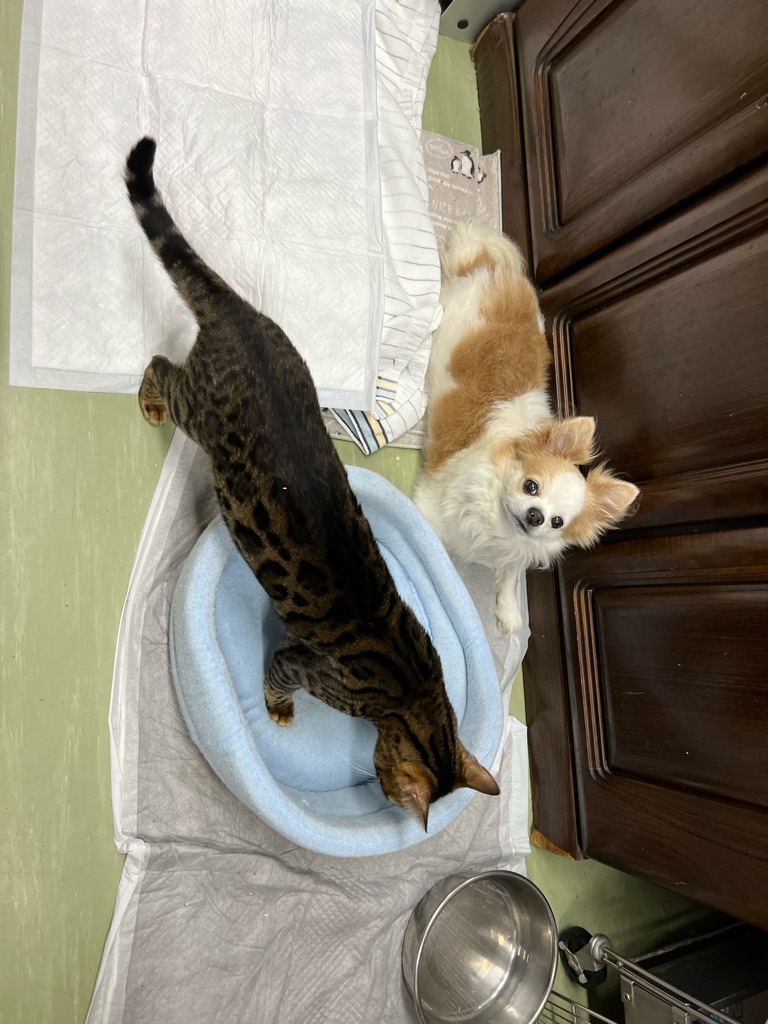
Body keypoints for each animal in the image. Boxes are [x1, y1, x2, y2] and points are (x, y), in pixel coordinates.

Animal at [124, 137, 499, 829]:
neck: (416, 692)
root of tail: (240, 315)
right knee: (161, 365)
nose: (383, 794)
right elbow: (276, 682)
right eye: (390, 788)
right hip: (196, 409)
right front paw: (279, 712)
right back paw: (150, 402)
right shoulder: (295, 661)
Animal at [414, 223, 639, 634]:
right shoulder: (431, 508)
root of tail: (499, 272)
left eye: (556, 522)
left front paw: (508, 609)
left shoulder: (512, 550)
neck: (496, 524)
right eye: (530, 486)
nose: (535, 515)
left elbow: (511, 570)